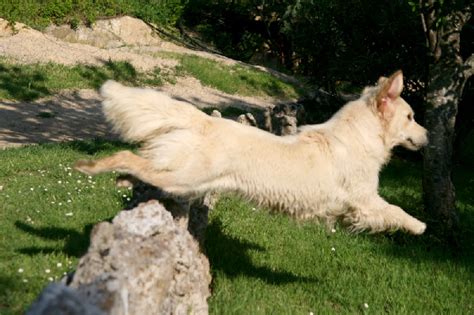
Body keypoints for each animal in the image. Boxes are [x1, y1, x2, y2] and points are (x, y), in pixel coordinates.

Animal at [75, 71, 430, 235]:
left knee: (141, 168)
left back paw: (121, 179)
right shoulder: (364, 201)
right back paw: (90, 166)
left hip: (182, 178)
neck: (360, 137)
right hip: (185, 177)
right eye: (411, 117)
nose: (428, 137)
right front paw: (419, 226)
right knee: (128, 157)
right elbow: (395, 210)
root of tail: (203, 120)